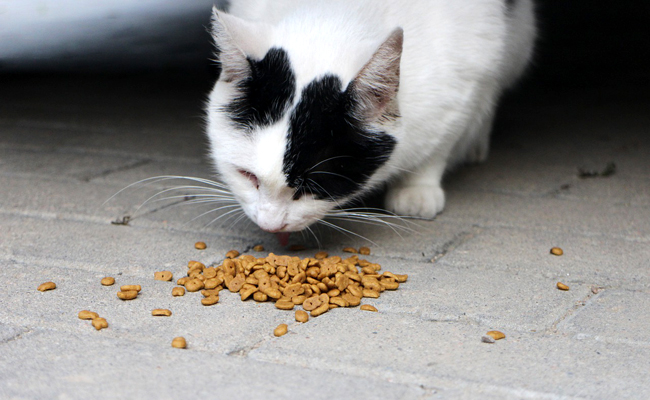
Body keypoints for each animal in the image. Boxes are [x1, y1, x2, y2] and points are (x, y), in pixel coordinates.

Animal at [205, 0, 536, 241]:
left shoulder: (466, 79)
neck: (338, 12)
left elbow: (441, 141)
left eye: (314, 185)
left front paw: (417, 188)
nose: (270, 224)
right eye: (247, 175)